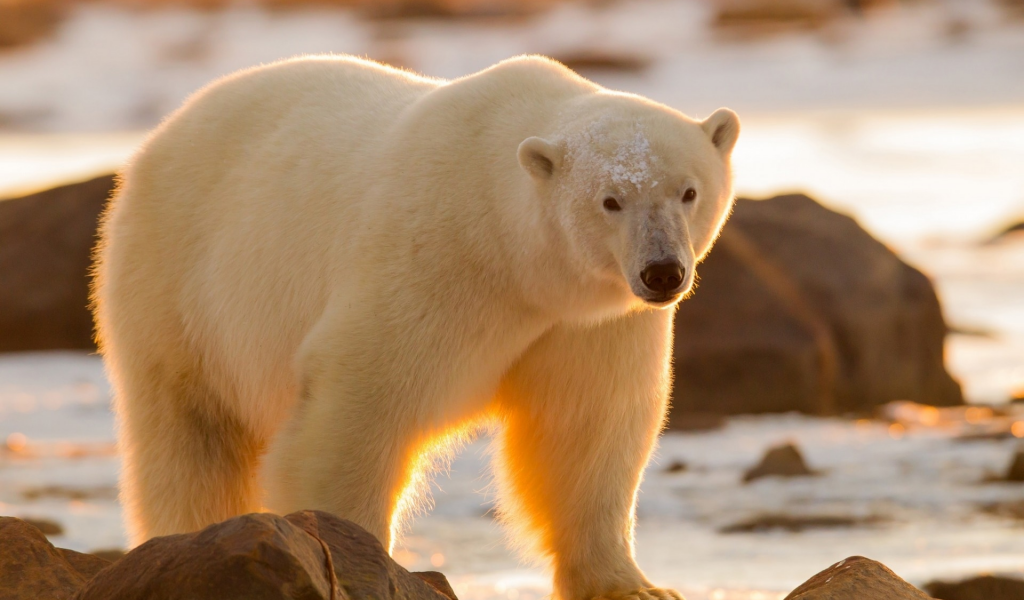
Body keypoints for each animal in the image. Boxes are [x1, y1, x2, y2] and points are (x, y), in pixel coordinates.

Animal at [92, 54, 737, 597]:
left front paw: (634, 585)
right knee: (191, 436)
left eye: (688, 191)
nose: (662, 272)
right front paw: (357, 560)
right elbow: (360, 404)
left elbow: (586, 429)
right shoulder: (430, 260)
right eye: (610, 200)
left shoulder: (590, 323)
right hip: (179, 284)